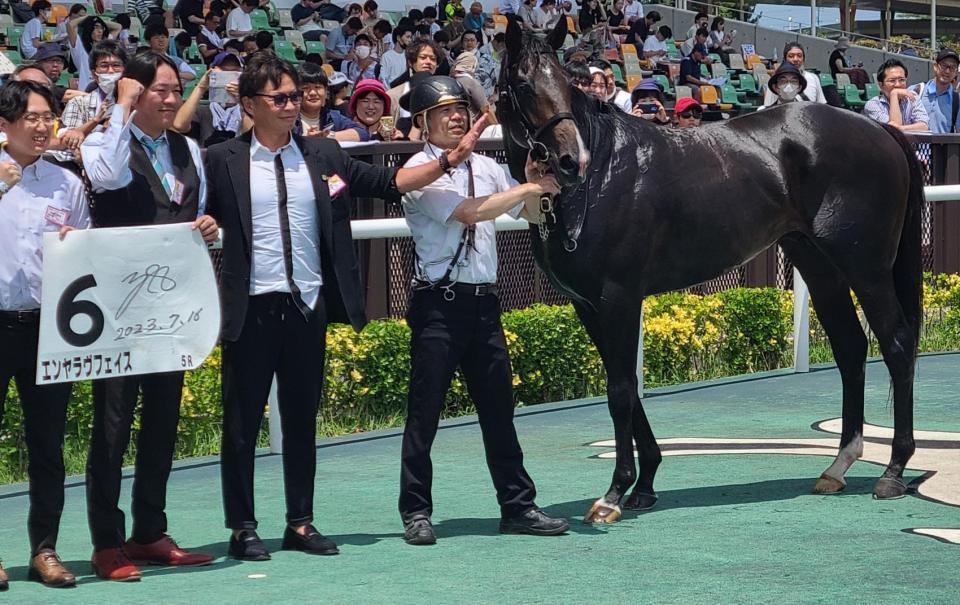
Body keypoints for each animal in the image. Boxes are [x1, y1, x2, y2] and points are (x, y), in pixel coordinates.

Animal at [496, 18, 924, 523]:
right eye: (524, 85)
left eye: (566, 83)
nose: (569, 161)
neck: (602, 175)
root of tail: (879, 128)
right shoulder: (587, 305)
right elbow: (628, 388)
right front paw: (645, 484)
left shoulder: (618, 297)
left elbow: (620, 389)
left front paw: (614, 494)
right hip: (819, 265)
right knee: (851, 349)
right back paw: (837, 466)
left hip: (867, 267)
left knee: (896, 345)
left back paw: (893, 471)